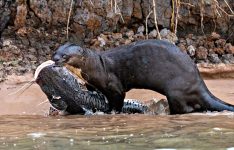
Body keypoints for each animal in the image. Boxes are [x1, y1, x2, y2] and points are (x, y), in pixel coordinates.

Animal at [52, 39, 234, 113]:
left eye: (64, 56)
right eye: (55, 51)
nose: (54, 59)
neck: (95, 67)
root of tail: (198, 82)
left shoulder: (114, 85)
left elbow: (117, 100)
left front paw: (112, 112)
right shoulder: (90, 82)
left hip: (176, 91)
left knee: (186, 108)